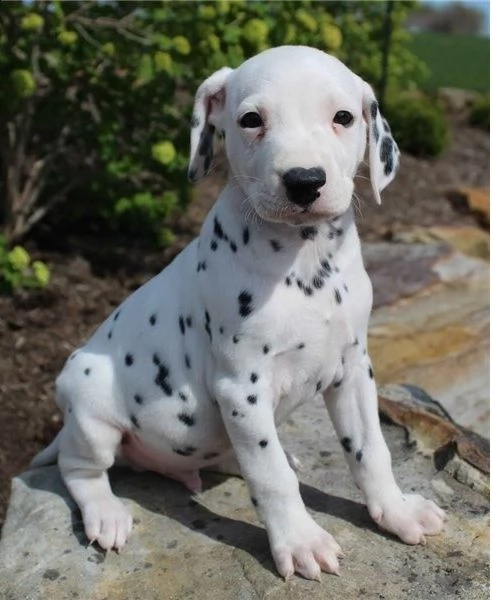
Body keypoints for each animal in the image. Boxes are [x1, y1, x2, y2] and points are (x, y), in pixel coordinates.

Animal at [31, 45, 446, 580]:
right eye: (251, 120)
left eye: (343, 117)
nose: (304, 181)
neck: (306, 262)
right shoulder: (242, 387)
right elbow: (269, 477)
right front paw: (301, 540)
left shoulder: (354, 368)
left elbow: (370, 450)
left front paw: (396, 511)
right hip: (90, 407)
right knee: (80, 468)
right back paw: (106, 513)